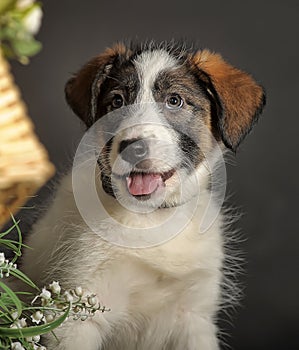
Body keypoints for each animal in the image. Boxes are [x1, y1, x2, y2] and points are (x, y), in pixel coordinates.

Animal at [21, 42, 266, 348]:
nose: (133, 148)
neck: (150, 218)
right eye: (117, 102)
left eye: (175, 101)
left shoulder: (194, 317)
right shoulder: (77, 313)